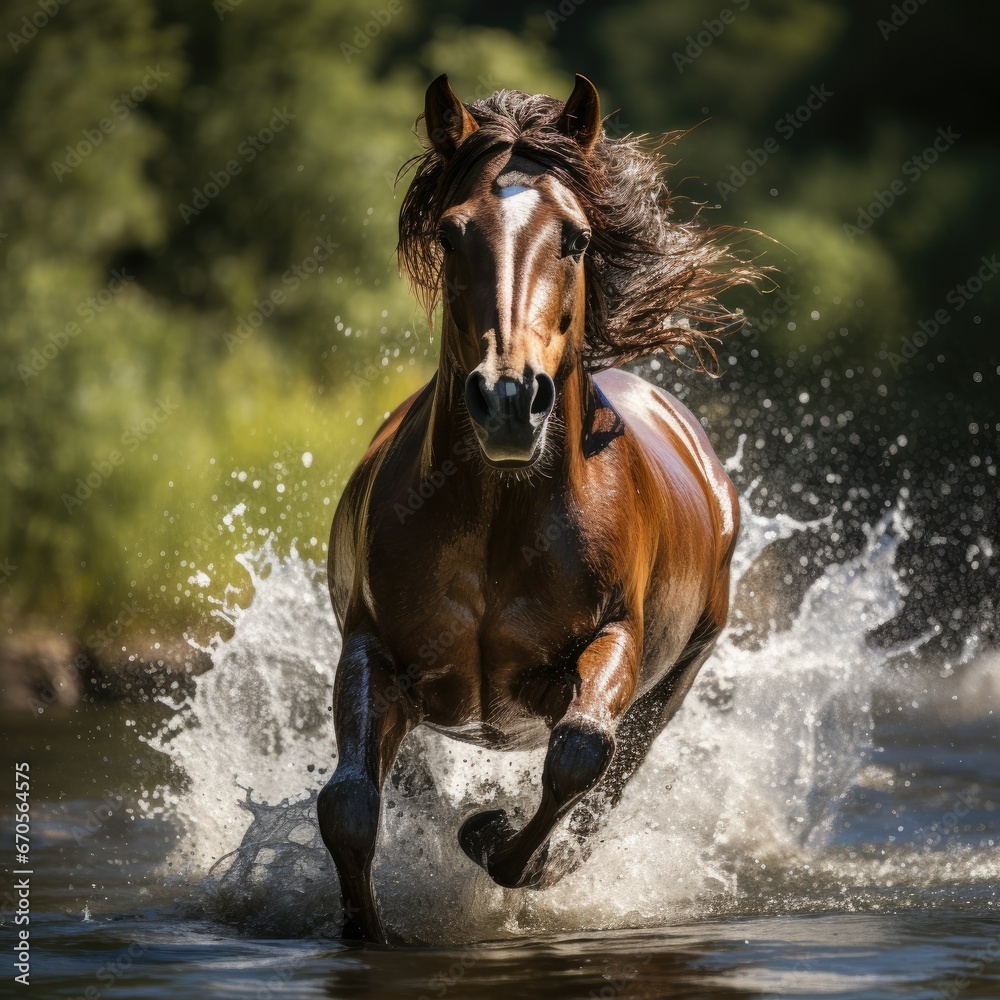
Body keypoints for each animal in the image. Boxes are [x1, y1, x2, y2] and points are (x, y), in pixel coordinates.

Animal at [317, 73, 760, 942]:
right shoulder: (371, 646)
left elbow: (577, 754)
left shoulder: (614, 641)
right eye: (451, 233)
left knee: (607, 784)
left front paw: (489, 834)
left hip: (676, 679)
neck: (499, 522)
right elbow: (347, 806)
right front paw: (366, 930)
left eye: (576, 238)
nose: (508, 402)